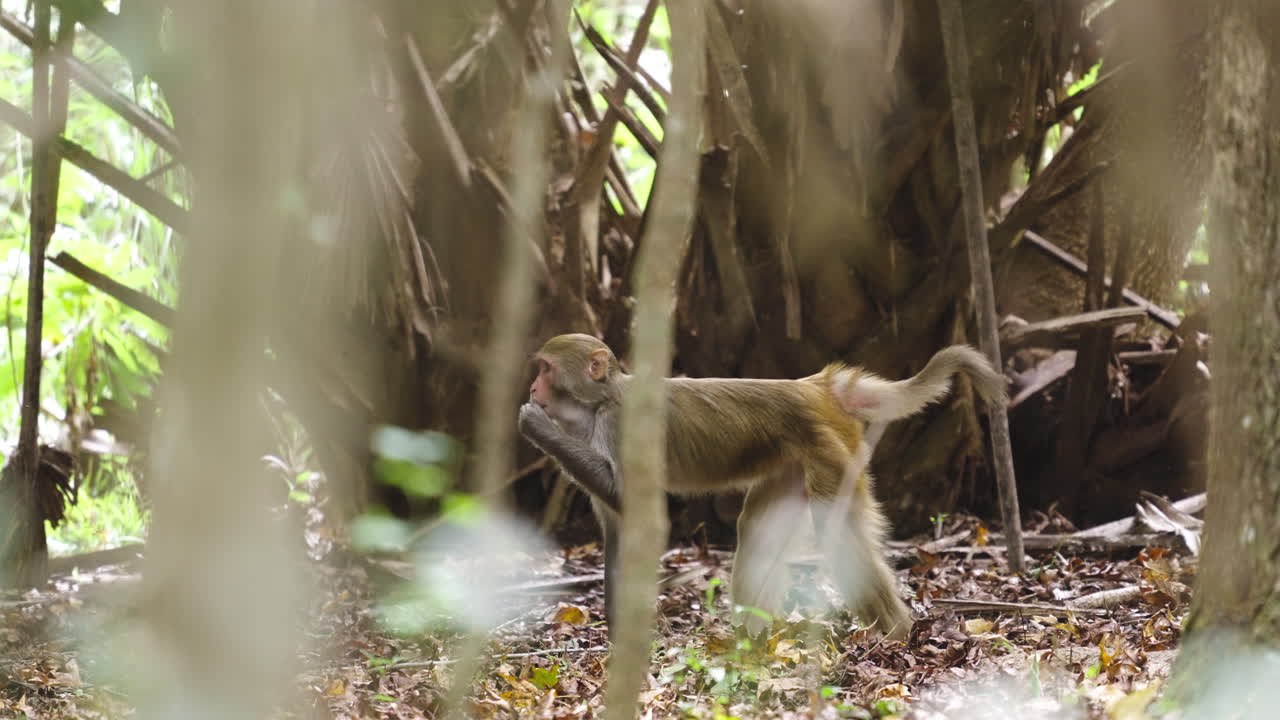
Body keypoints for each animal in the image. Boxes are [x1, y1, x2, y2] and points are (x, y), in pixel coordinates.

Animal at [517, 333, 1006, 641]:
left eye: (546, 370)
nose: (533, 387)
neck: (598, 402)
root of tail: (816, 387)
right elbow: (618, 527)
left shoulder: (619, 426)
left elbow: (636, 506)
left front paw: (536, 425)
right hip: (793, 462)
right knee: (756, 530)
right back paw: (751, 637)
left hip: (829, 448)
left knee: (837, 532)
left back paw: (895, 637)